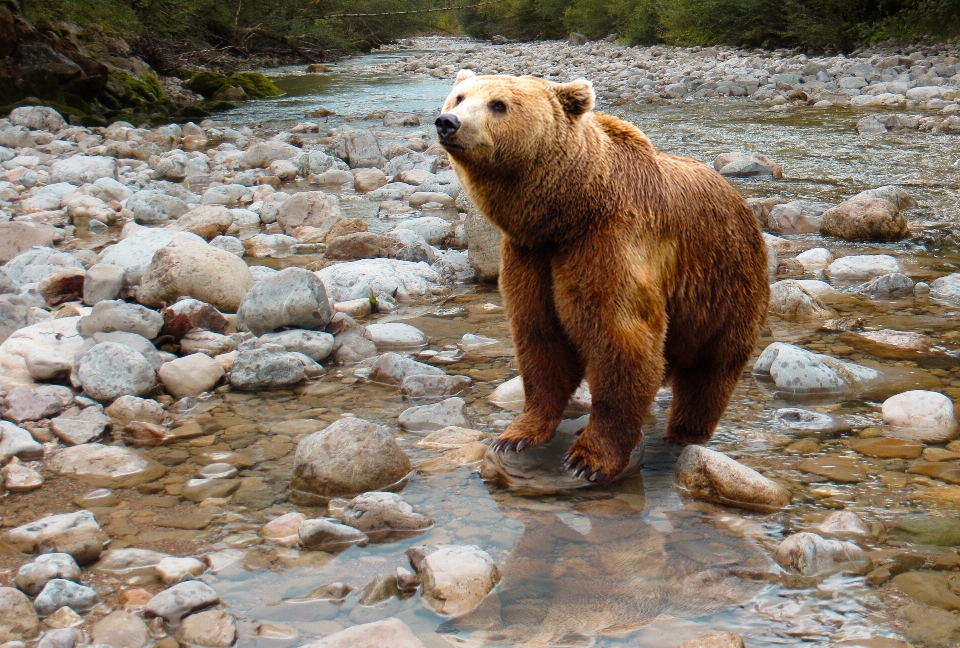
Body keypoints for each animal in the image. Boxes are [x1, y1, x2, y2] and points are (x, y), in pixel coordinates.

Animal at [438, 72, 768, 486]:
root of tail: (742, 202)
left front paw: (589, 458)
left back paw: (684, 432)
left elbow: (620, 339)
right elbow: (539, 338)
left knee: (710, 371)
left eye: (498, 104)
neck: (565, 213)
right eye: (459, 97)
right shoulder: (531, 257)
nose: (447, 122)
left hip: (725, 285)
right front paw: (516, 435)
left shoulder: (607, 242)